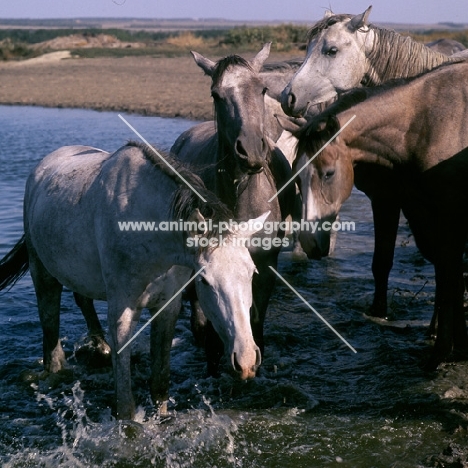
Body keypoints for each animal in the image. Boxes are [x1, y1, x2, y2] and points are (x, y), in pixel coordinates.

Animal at [0, 141, 266, 418]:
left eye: (252, 272)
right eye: (204, 280)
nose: (246, 360)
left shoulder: (167, 307)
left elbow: (159, 382)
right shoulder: (122, 311)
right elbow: (125, 403)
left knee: (83, 300)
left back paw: (101, 346)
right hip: (42, 273)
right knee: (50, 323)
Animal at [171, 43, 296, 372]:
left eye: (262, 89)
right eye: (216, 94)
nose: (251, 151)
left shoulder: (264, 267)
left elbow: (256, 316)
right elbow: (206, 319)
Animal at [278, 5, 468, 316]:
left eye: (331, 50)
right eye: (306, 47)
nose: (287, 97)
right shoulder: (388, 199)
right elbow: (385, 261)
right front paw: (379, 311)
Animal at [288, 62, 468, 368]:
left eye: (328, 173)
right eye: (297, 178)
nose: (310, 242)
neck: (428, 123)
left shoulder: (446, 214)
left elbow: (448, 273)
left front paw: (442, 352)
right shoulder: (423, 213)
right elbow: (446, 274)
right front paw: (454, 343)